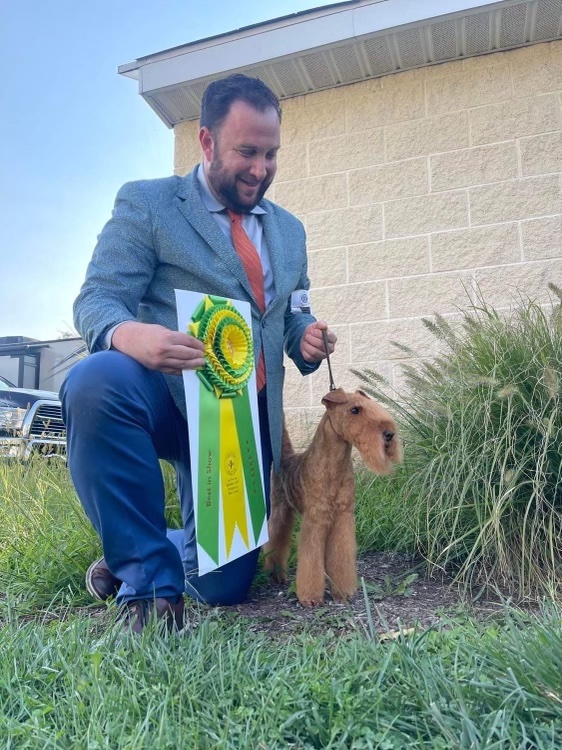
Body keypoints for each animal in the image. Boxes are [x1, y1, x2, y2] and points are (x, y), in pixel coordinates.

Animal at [263, 388, 402, 607]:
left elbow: (341, 559)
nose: (389, 434)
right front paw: (310, 598)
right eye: (355, 410)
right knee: (274, 541)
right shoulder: (315, 520)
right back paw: (274, 574)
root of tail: (285, 459)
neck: (334, 466)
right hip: (280, 510)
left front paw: (343, 593)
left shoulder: (343, 518)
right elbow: (311, 562)